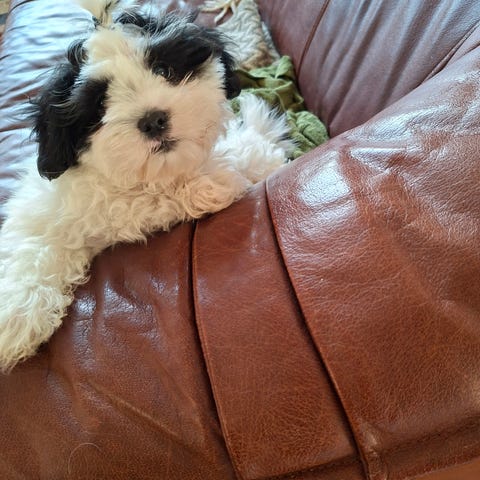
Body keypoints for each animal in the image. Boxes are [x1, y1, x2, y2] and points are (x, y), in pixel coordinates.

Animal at [0, 0, 292, 372]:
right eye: (100, 105)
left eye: (164, 70)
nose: (153, 120)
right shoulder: (50, 208)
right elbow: (34, 245)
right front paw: (15, 316)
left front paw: (228, 171)